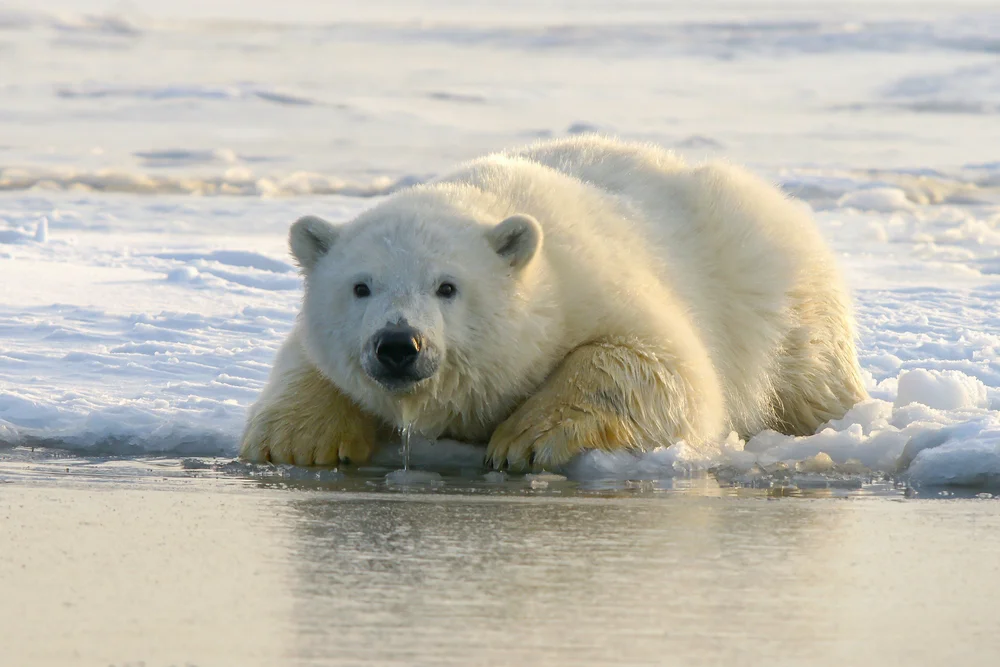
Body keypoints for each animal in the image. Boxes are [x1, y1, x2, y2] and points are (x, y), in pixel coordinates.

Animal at [240, 135, 868, 470]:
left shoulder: (595, 285)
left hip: (779, 296)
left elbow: (661, 367)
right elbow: (305, 361)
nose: (399, 344)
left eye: (447, 286)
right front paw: (297, 442)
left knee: (811, 378)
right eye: (361, 286)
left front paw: (524, 440)